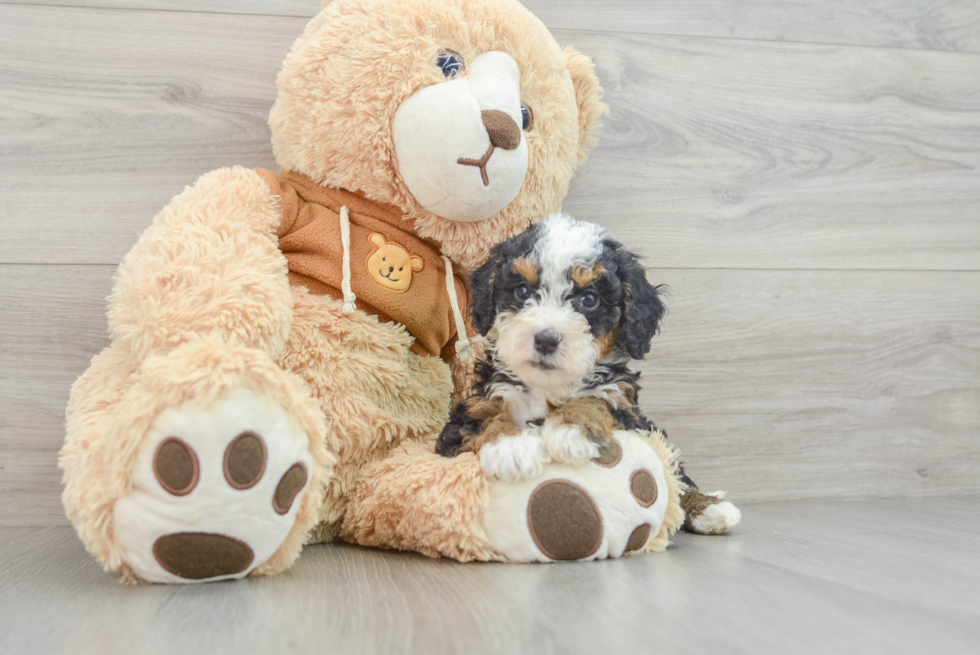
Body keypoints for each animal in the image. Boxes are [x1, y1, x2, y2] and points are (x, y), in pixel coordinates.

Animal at [436, 218, 668, 480]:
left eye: (589, 299)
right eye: (523, 291)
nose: (546, 340)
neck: (546, 387)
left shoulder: (632, 415)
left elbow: (600, 398)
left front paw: (571, 430)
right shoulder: (463, 418)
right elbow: (484, 414)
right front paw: (510, 447)